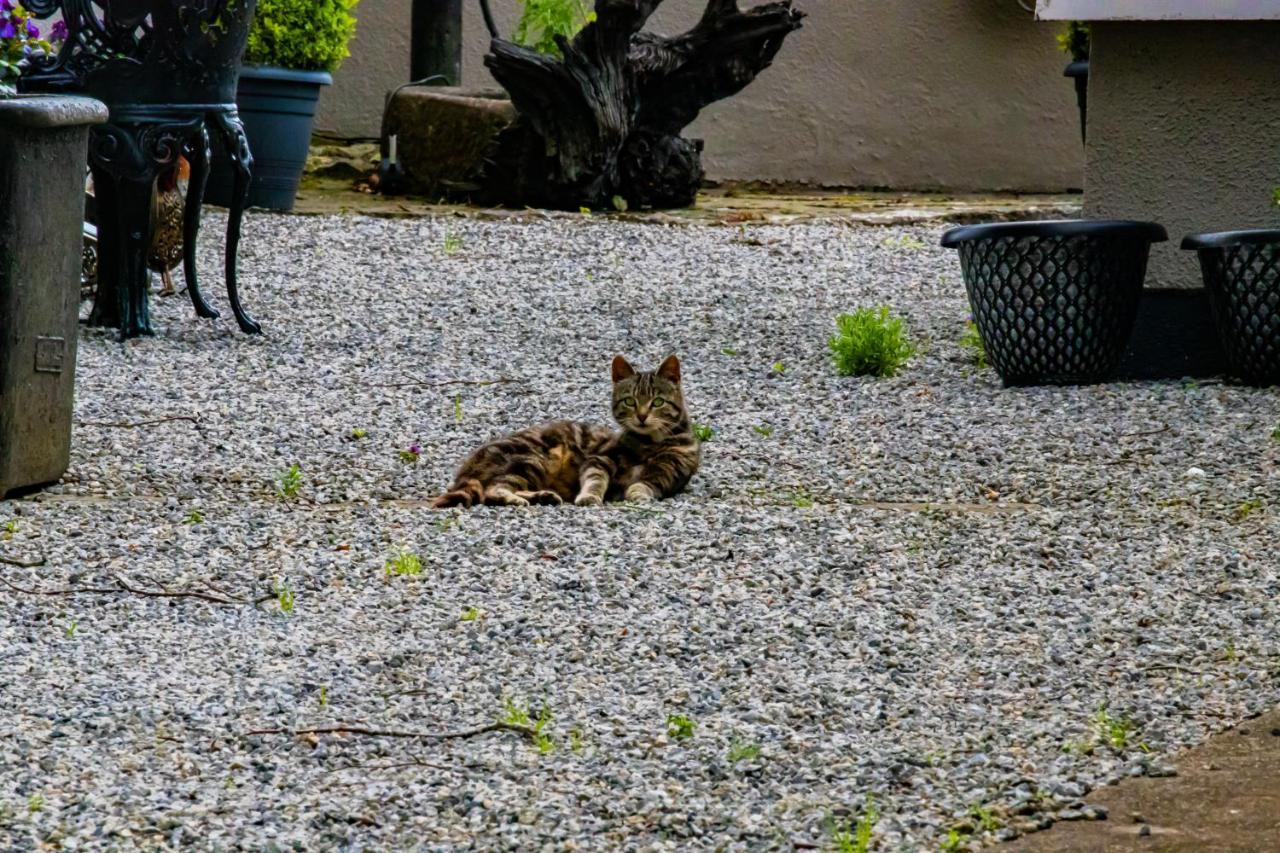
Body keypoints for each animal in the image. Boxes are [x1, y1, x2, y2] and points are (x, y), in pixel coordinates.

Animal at [437, 350, 701, 504]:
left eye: (657, 402)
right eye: (630, 401)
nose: (642, 416)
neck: (649, 443)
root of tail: (467, 467)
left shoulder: (670, 473)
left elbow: (646, 483)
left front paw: (638, 493)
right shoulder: (599, 459)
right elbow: (595, 479)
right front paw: (590, 496)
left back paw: (543, 496)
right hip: (532, 459)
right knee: (493, 490)